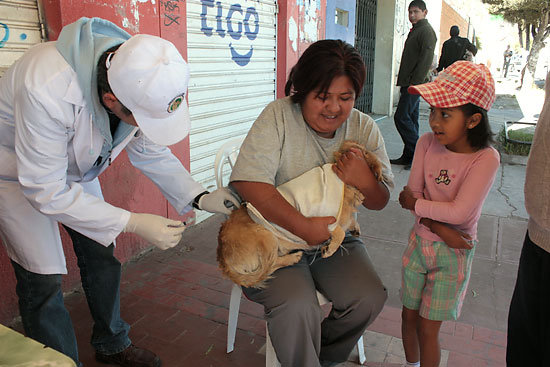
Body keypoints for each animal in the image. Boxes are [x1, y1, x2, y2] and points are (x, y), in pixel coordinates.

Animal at [217, 140, 384, 288]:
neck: (346, 187)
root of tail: (222, 257)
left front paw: (354, 227)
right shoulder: (326, 218)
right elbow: (340, 233)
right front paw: (329, 248)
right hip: (266, 236)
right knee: (271, 264)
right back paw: (293, 258)